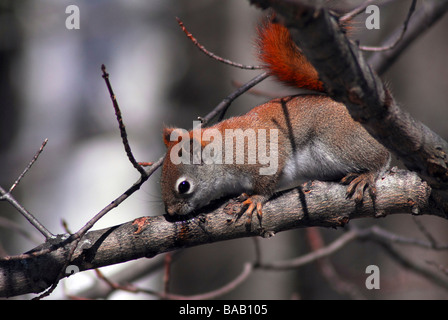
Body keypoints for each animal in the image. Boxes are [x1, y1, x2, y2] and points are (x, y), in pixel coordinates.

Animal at [160, 17, 388, 222]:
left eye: (184, 186)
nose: (171, 213)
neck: (223, 152)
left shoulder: (261, 156)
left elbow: (266, 184)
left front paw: (255, 199)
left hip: (339, 141)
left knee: (380, 158)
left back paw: (367, 174)